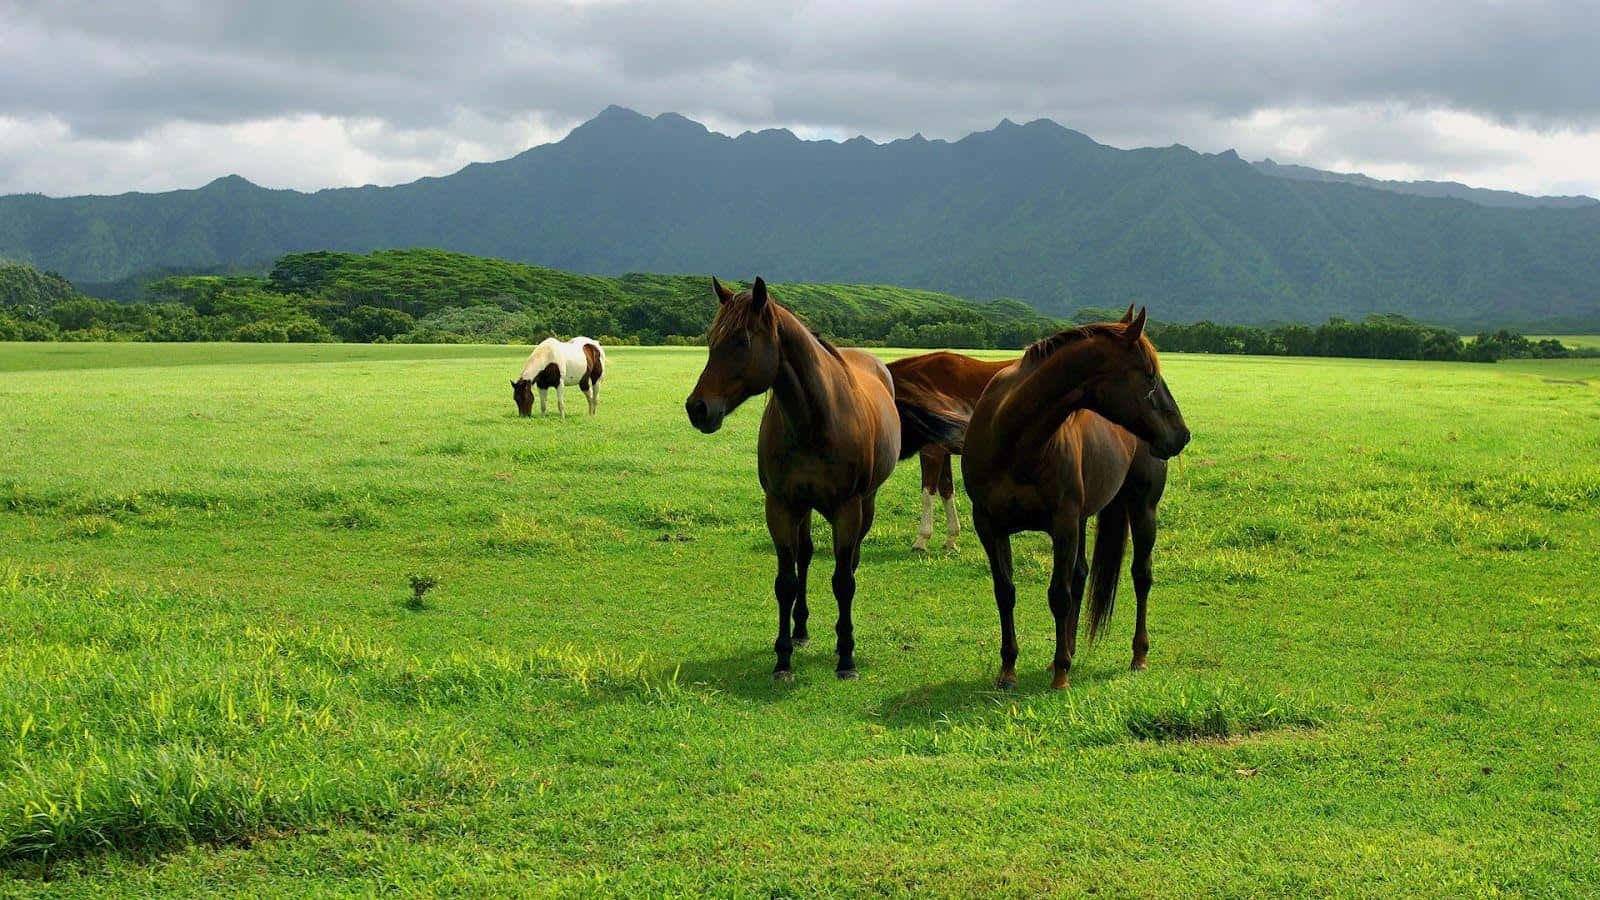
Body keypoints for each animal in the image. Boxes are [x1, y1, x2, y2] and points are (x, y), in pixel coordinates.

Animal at [688, 277, 960, 675]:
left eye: (741, 341)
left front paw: (846, 654)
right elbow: (786, 581)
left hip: (865, 505)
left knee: (851, 562)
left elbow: (843, 580)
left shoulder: (847, 509)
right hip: (804, 509)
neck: (813, 421)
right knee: (804, 557)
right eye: (710, 339)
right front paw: (783, 657)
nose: (697, 408)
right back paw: (801, 629)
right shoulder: (781, 507)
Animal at [889, 349, 1011, 547]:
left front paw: (922, 539)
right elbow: (946, 490)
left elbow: (928, 493)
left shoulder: (931, 451)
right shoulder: (943, 451)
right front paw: (951, 537)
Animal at [960, 304, 1190, 688]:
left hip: (1142, 509)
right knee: (1081, 575)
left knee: (1141, 576)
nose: (1182, 434)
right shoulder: (989, 526)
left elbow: (1059, 595)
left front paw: (1060, 675)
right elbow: (1005, 592)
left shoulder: (1063, 524)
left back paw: (1137, 655)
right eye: (1148, 374)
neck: (1014, 440)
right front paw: (1008, 669)